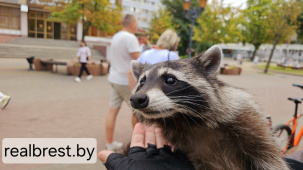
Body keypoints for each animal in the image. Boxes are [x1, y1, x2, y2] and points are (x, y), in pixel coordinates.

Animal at [130, 45, 290, 170]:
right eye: (142, 82)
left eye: (170, 79)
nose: (137, 99)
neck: (184, 119)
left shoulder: (250, 122)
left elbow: (270, 160)